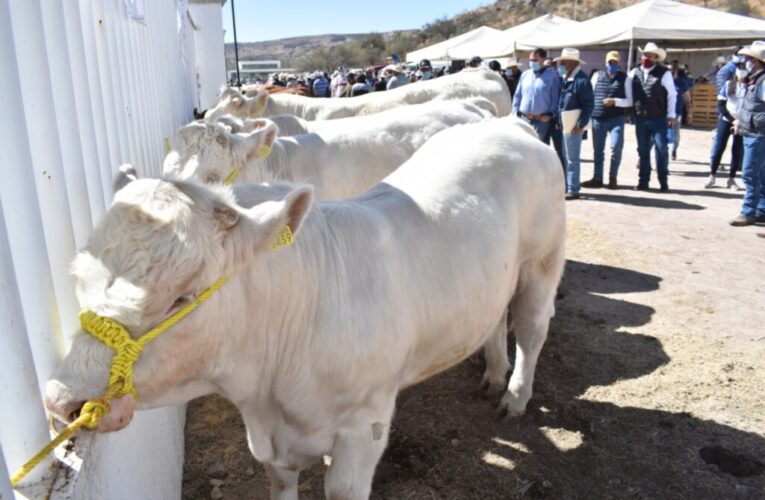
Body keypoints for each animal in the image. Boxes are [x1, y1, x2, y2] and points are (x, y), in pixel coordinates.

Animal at [46, 118, 560, 500]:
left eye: (180, 298)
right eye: (82, 280)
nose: (60, 400)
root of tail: (509, 125)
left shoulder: (364, 428)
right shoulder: (272, 446)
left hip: (541, 263)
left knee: (531, 329)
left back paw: (515, 396)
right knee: (494, 317)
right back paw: (492, 371)